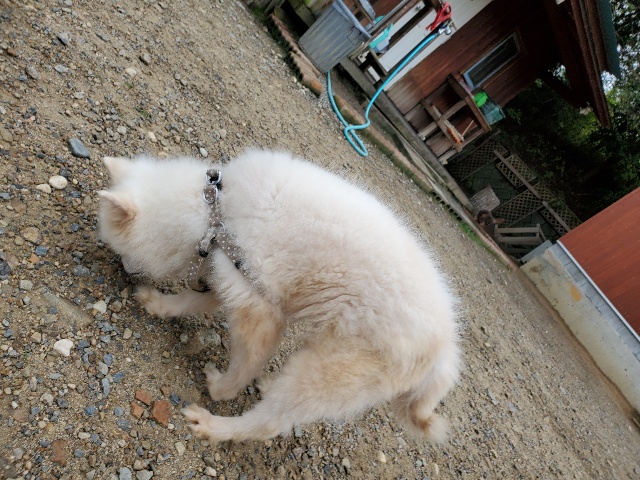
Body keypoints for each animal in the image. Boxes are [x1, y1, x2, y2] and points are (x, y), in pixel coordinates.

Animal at [98, 150, 461, 444]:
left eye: (122, 249)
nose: (124, 269)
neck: (215, 211)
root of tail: (444, 350)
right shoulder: (234, 275)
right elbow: (189, 300)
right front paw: (158, 304)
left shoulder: (261, 307)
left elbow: (245, 363)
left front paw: (223, 388)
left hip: (329, 370)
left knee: (271, 422)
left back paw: (215, 426)